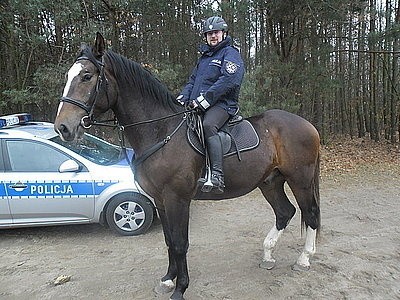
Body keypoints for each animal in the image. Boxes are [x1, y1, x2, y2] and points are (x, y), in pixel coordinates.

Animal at [54, 32, 322, 300]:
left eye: (87, 76)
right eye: (68, 76)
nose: (63, 128)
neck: (160, 131)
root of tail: (307, 125)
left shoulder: (177, 199)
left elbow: (180, 243)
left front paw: (180, 288)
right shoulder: (160, 200)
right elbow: (169, 240)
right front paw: (167, 280)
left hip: (300, 180)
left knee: (310, 214)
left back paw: (304, 259)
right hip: (270, 182)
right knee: (285, 212)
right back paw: (268, 254)